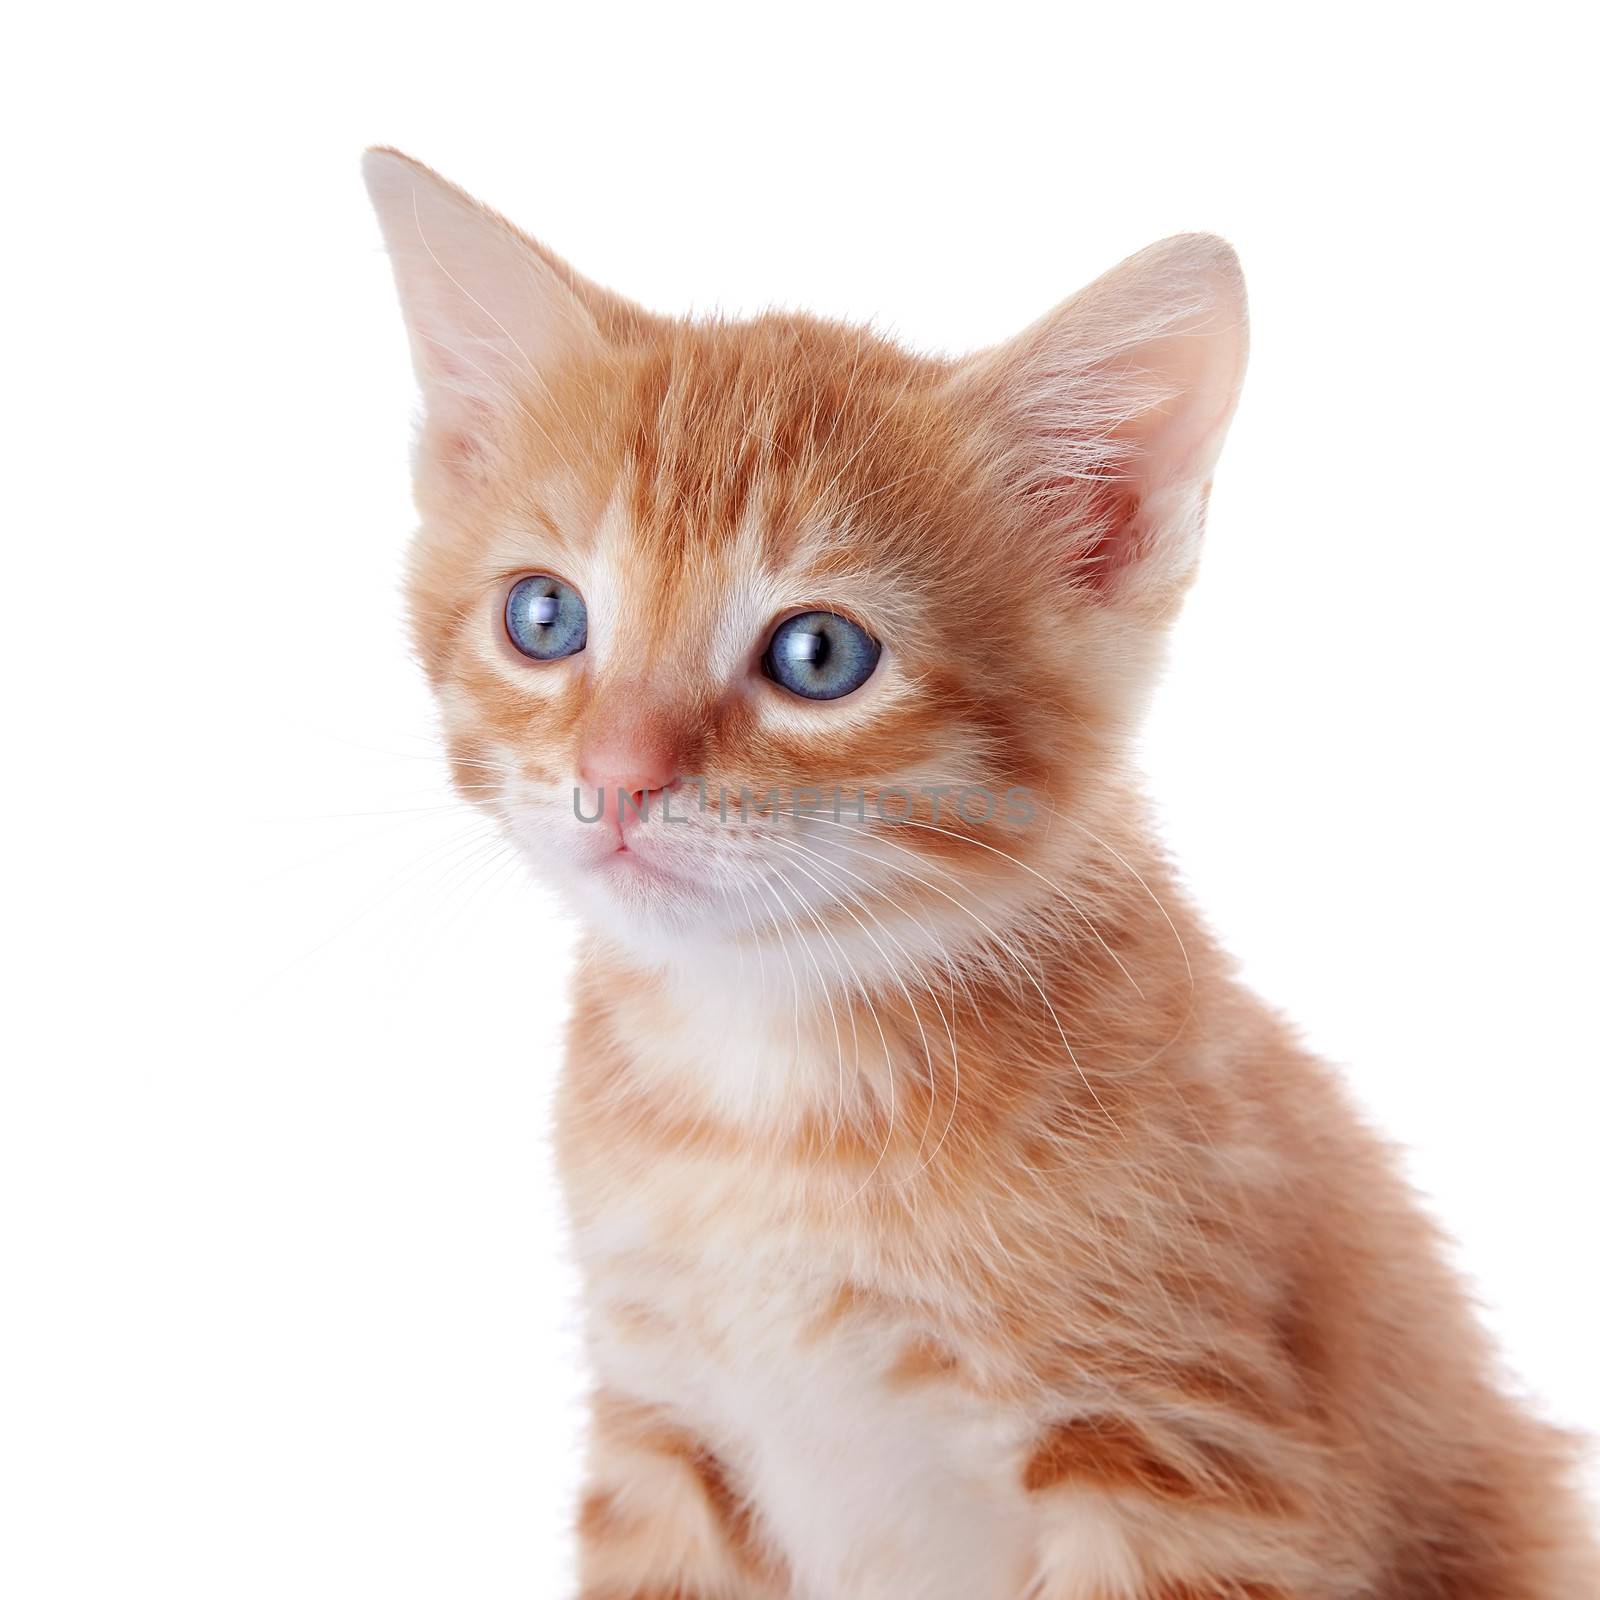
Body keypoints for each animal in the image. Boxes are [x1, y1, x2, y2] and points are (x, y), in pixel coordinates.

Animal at [366, 152, 1600, 1600]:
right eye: (545, 617)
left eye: (819, 655)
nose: (615, 777)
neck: (764, 1092)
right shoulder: (664, 1435)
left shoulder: (1188, 1468)